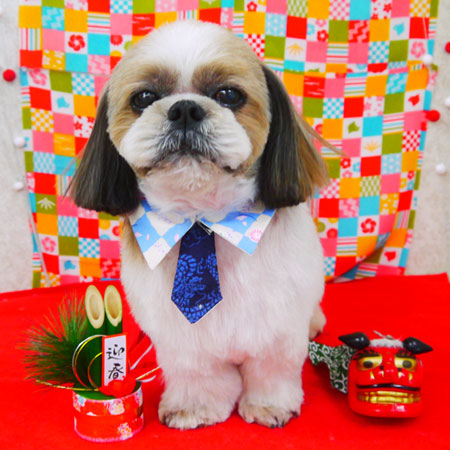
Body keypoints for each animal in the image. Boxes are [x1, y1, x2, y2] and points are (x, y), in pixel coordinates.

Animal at [71, 20, 329, 429]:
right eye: (144, 97)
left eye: (228, 95)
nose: (185, 109)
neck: (203, 222)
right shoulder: (183, 337)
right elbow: (198, 374)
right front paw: (194, 408)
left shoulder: (278, 323)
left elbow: (271, 370)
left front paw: (269, 406)